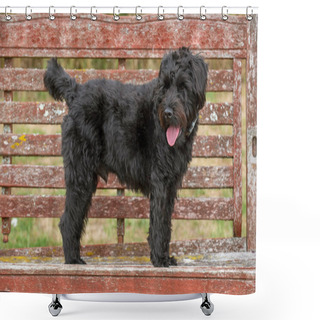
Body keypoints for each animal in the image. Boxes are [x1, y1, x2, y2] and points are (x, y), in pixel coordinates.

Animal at [43, 47, 208, 268]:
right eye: (164, 86)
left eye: (183, 86)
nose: (167, 112)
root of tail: (76, 92)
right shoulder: (161, 181)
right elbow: (158, 223)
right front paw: (160, 259)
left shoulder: (171, 184)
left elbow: (165, 222)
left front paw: (163, 256)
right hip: (81, 176)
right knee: (68, 221)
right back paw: (73, 259)